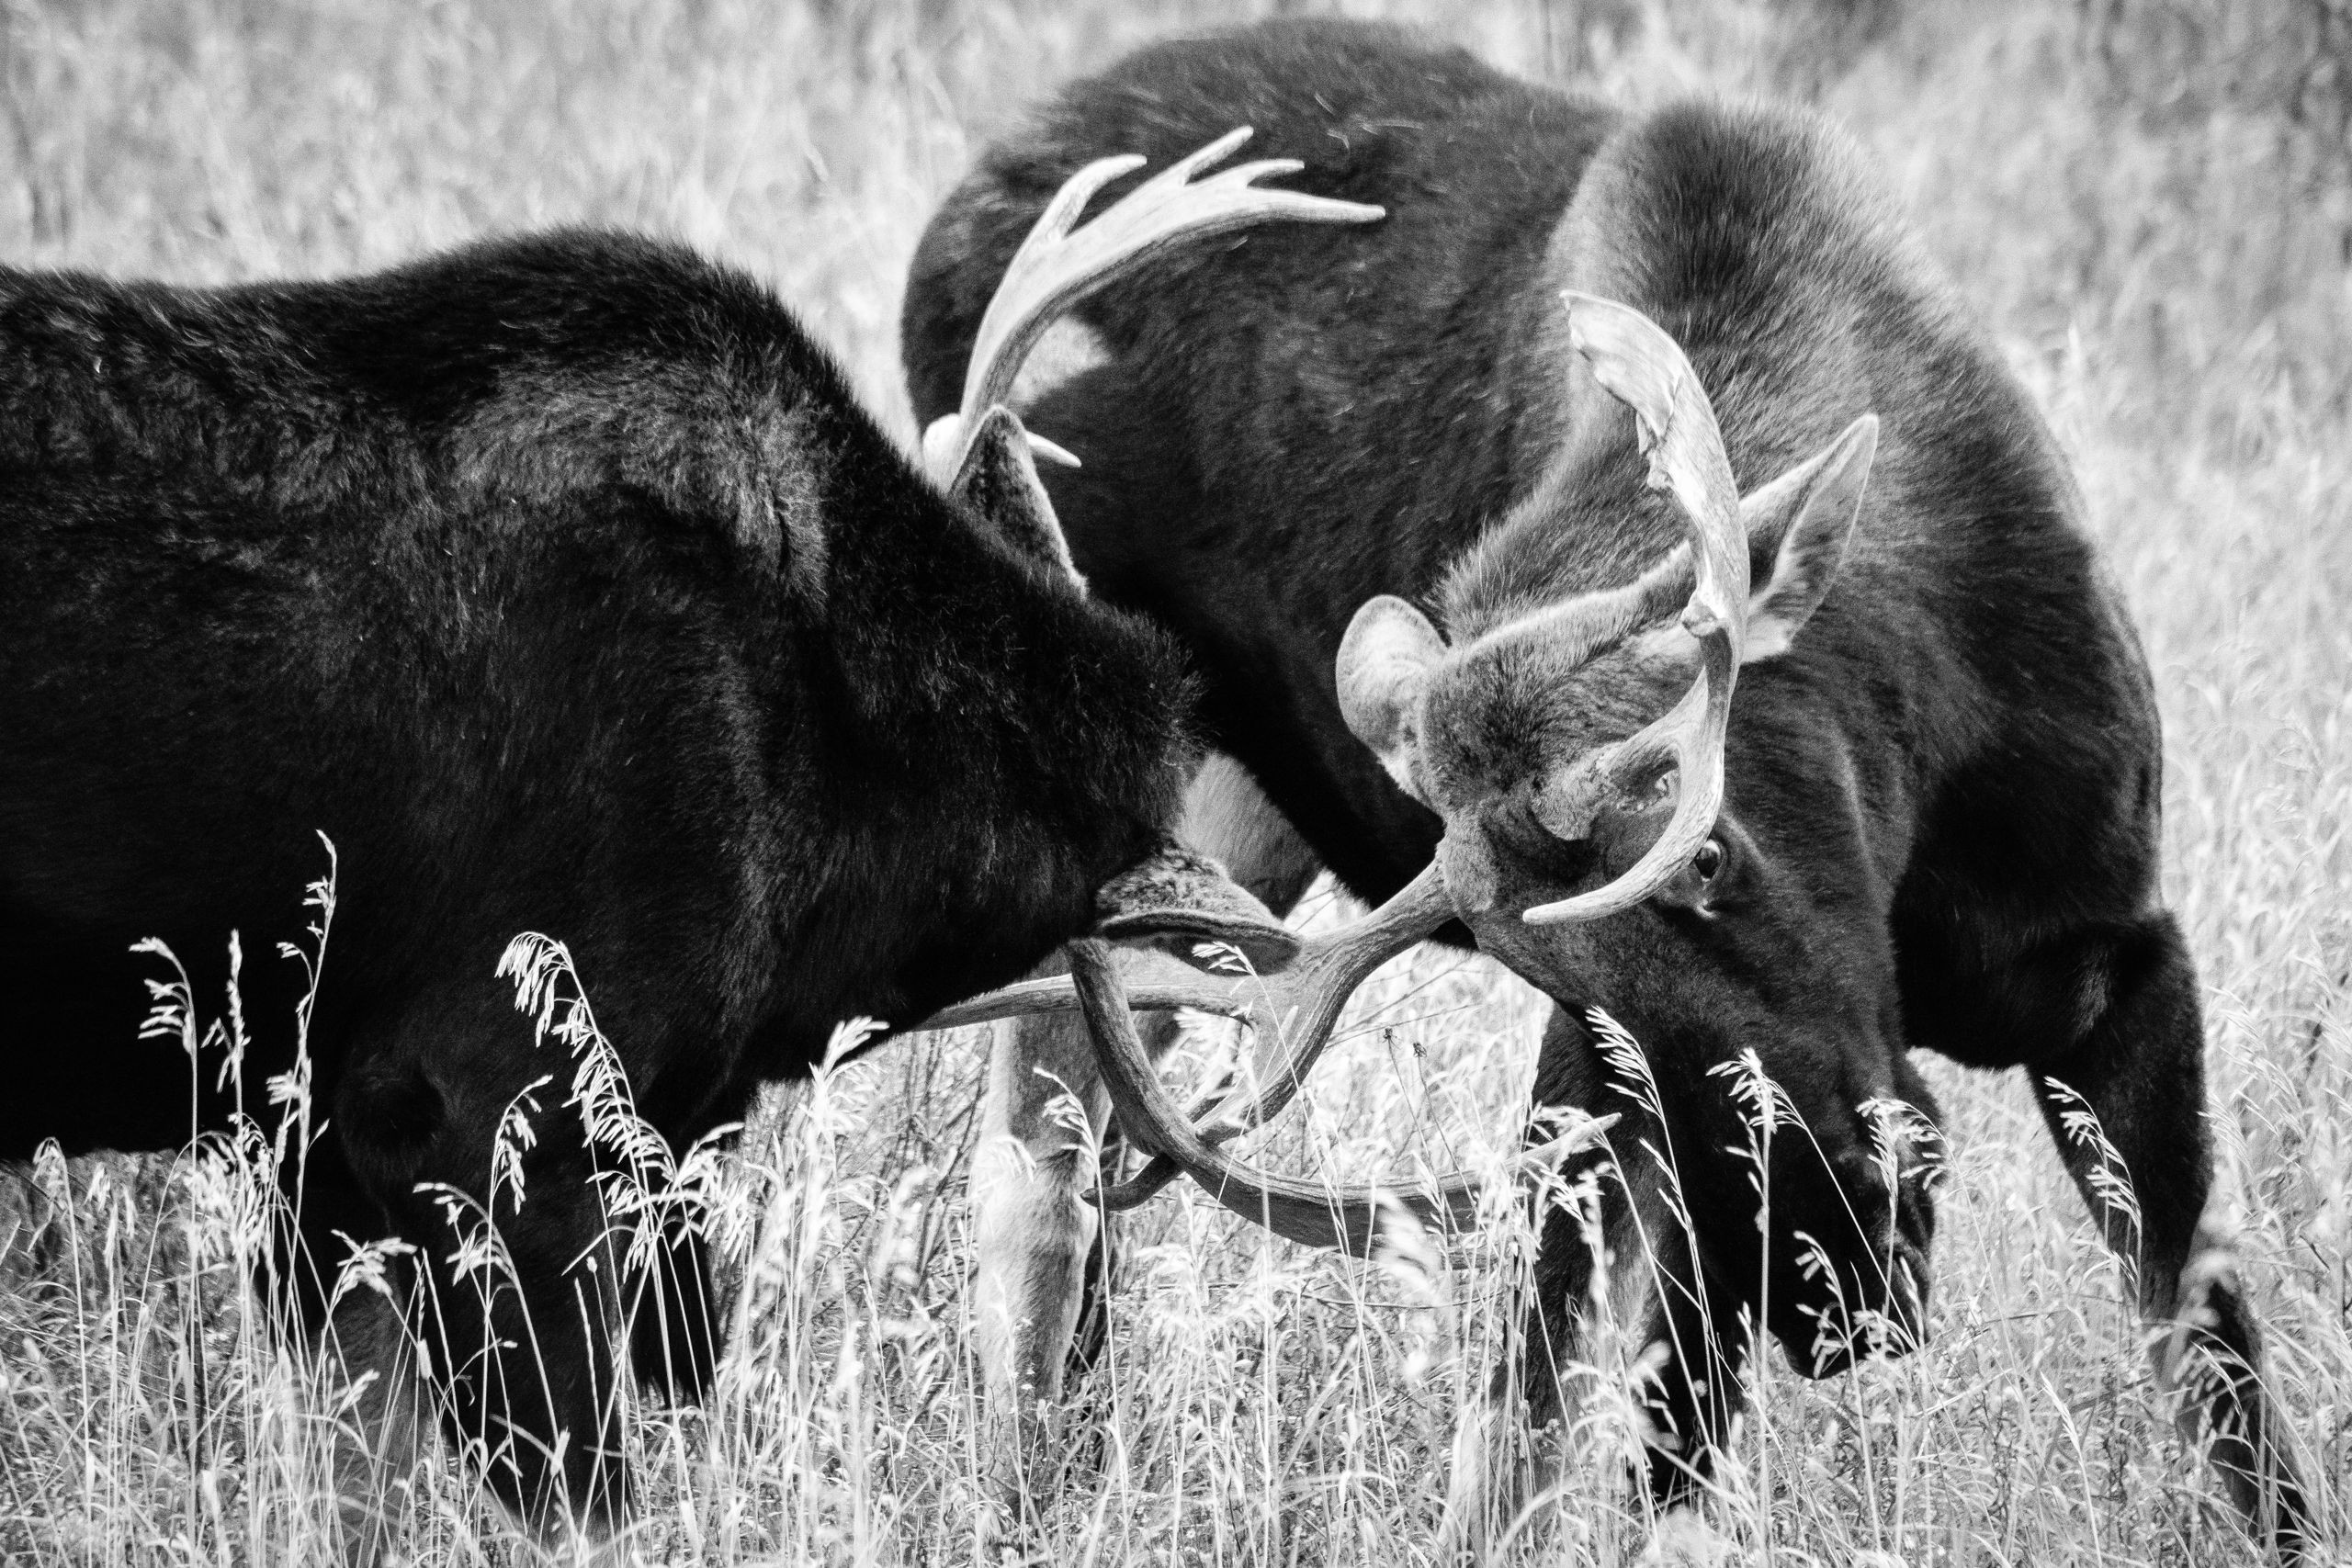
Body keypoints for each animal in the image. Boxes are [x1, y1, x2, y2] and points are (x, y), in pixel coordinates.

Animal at [903, 15, 2314, 1561]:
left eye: (1706, 853)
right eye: (1549, 964)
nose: (1843, 1268)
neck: (1921, 794)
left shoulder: (2117, 951)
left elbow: (2228, 1391)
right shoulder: (1637, 1101)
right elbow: (1561, 1439)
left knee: (1094, 1133)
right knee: (1040, 1153)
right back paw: (1032, 1481)